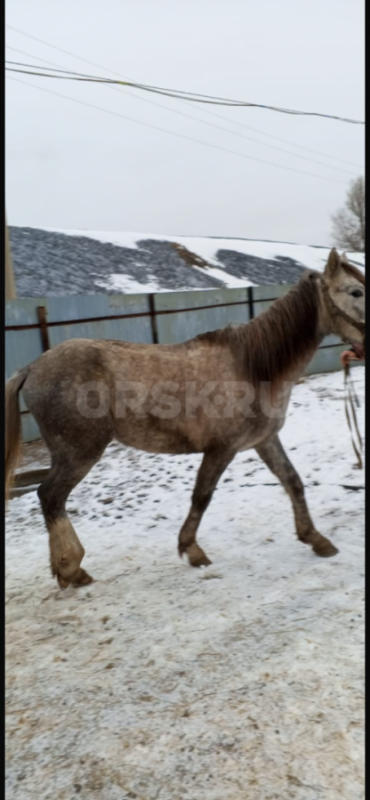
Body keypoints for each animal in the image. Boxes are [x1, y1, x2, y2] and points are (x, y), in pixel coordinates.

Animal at [5, 250, 364, 588]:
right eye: (357, 291)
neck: (253, 368)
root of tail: (32, 368)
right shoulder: (222, 448)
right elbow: (202, 496)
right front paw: (192, 550)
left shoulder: (264, 440)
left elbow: (293, 482)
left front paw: (316, 540)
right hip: (79, 453)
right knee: (50, 497)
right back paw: (71, 568)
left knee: (51, 499)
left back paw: (67, 570)